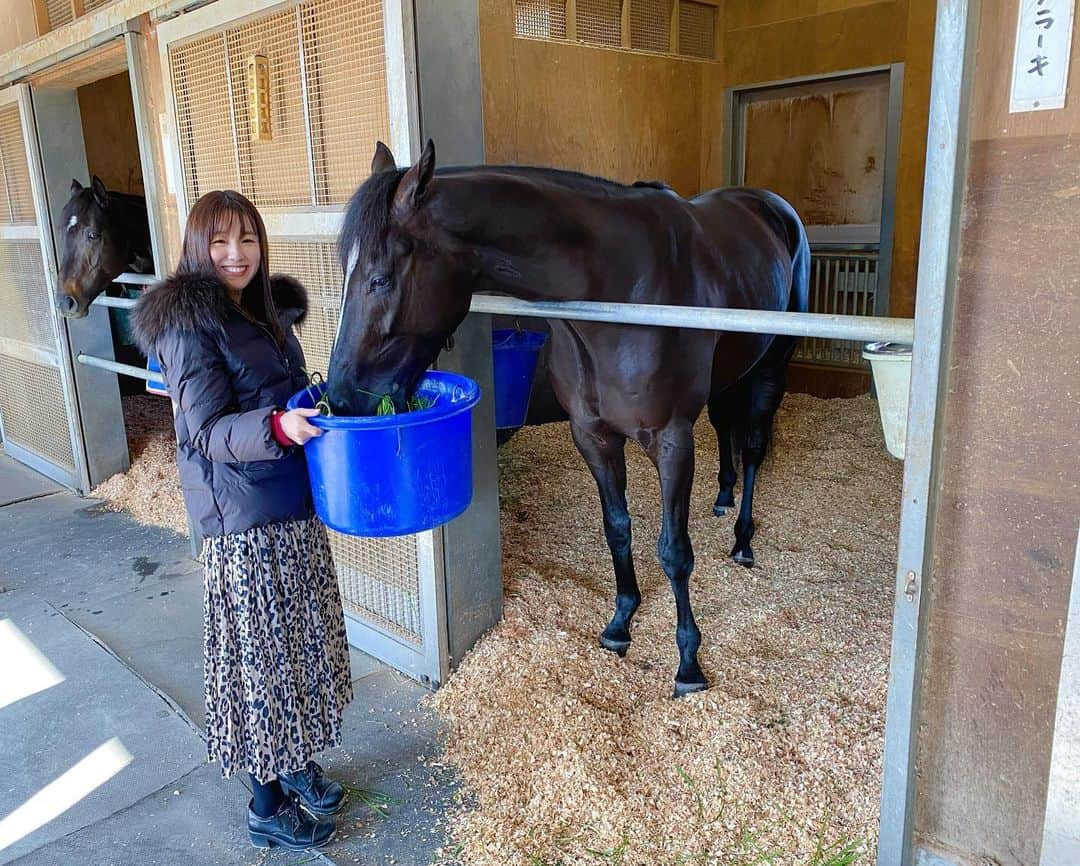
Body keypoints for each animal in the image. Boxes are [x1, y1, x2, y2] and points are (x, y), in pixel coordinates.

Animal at [328, 141, 812, 695]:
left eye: (380, 278)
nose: (341, 399)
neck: (620, 292)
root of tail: (771, 205)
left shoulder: (672, 442)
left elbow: (674, 551)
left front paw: (688, 662)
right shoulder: (592, 436)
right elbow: (617, 528)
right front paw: (621, 623)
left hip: (773, 366)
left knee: (753, 446)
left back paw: (743, 539)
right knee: (726, 426)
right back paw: (723, 496)